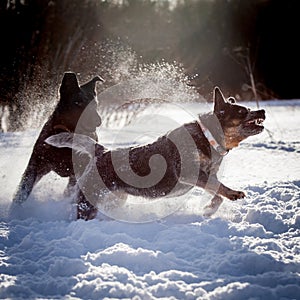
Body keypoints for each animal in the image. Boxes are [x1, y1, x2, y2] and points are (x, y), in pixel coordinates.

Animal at [11, 71, 104, 219]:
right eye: (78, 102)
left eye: (95, 104)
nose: (98, 121)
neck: (65, 131)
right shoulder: (36, 164)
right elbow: (23, 190)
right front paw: (13, 212)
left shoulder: (77, 172)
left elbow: (69, 192)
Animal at [46, 85, 264, 219]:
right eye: (242, 111)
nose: (262, 111)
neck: (206, 136)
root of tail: (102, 151)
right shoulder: (190, 173)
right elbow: (219, 187)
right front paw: (234, 194)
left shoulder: (207, 175)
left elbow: (216, 191)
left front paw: (209, 210)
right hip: (90, 199)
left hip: (116, 199)